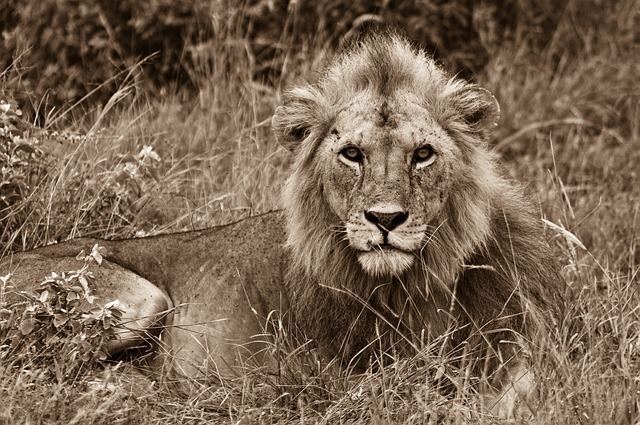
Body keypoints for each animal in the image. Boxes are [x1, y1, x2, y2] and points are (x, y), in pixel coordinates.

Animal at [0, 31, 562, 418]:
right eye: (352, 154)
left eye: (422, 154)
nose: (385, 220)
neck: (408, 286)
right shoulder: (335, 378)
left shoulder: (519, 352)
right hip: (141, 297)